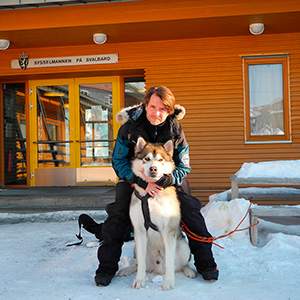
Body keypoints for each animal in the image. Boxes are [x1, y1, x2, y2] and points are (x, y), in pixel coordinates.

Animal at [118, 137, 196, 290]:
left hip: (184, 247)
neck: (151, 196)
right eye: (147, 159)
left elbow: (170, 263)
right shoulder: (139, 230)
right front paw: (140, 280)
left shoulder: (168, 230)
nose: (153, 168)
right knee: (138, 263)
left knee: (180, 264)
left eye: (160, 160)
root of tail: (157, 268)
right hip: (136, 247)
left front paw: (169, 282)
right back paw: (127, 269)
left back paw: (188, 270)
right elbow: (141, 264)